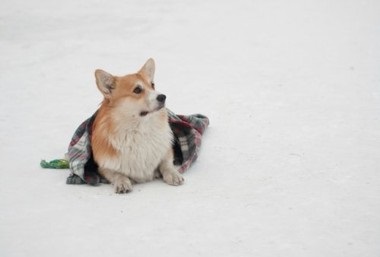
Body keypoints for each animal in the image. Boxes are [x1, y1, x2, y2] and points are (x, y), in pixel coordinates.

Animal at [90, 58, 183, 192]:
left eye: (152, 85)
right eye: (137, 90)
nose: (163, 97)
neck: (140, 129)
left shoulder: (166, 151)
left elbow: (166, 164)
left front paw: (173, 174)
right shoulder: (104, 167)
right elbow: (116, 174)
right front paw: (122, 182)